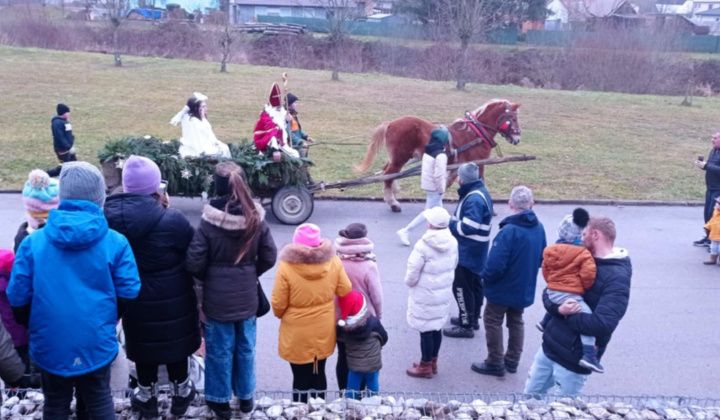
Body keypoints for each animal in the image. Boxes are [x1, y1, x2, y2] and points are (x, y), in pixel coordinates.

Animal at [356, 99, 520, 213]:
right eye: (513, 118)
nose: (517, 138)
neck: (476, 133)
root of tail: (391, 123)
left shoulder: (457, 166)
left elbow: (447, 183)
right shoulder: (479, 163)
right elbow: (480, 183)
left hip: (398, 158)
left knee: (387, 172)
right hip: (400, 158)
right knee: (389, 175)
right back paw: (393, 203)